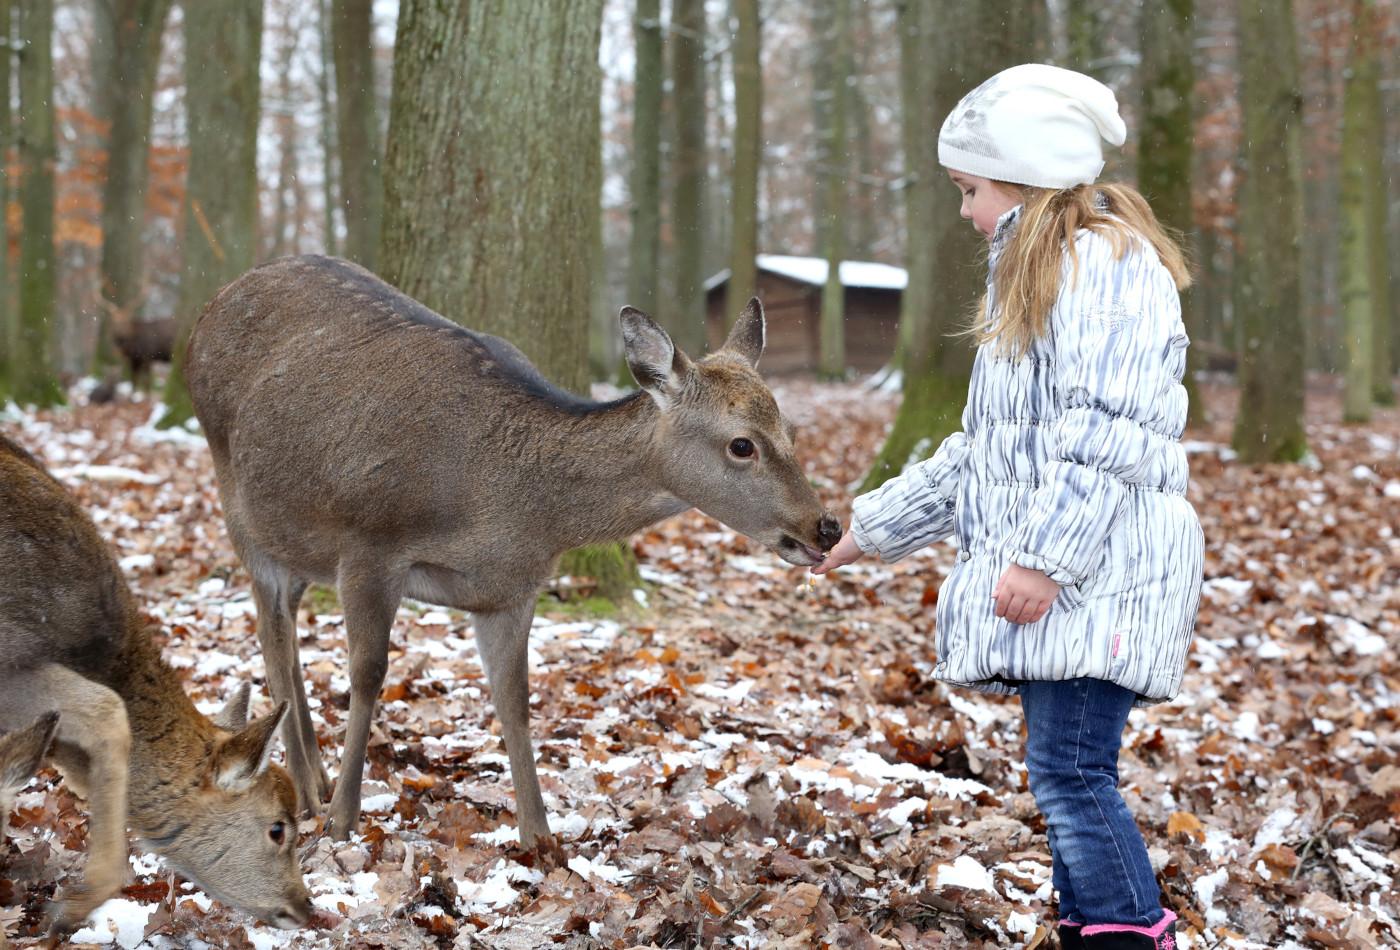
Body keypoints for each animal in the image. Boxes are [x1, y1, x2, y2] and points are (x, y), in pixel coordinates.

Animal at [186, 256, 840, 850]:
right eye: (741, 445)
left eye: (790, 431)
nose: (827, 527)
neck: (505, 510)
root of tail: (207, 310)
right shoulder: (368, 543)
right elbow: (368, 675)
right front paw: (343, 822)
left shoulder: (511, 588)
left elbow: (515, 697)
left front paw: (540, 838)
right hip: (237, 502)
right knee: (272, 634)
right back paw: (306, 792)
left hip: (294, 540)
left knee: (290, 630)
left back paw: (314, 779)